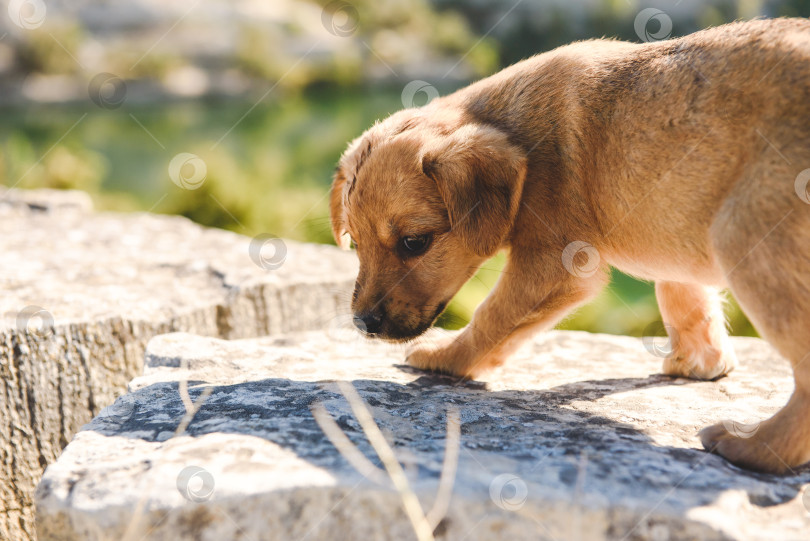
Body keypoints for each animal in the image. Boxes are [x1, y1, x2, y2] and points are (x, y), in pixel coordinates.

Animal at [328, 17, 808, 472]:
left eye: (414, 242)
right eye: (355, 243)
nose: (363, 324)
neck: (515, 130)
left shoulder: (552, 266)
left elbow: (491, 317)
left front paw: (446, 357)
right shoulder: (672, 241)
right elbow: (686, 302)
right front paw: (701, 362)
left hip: (748, 240)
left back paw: (754, 448)